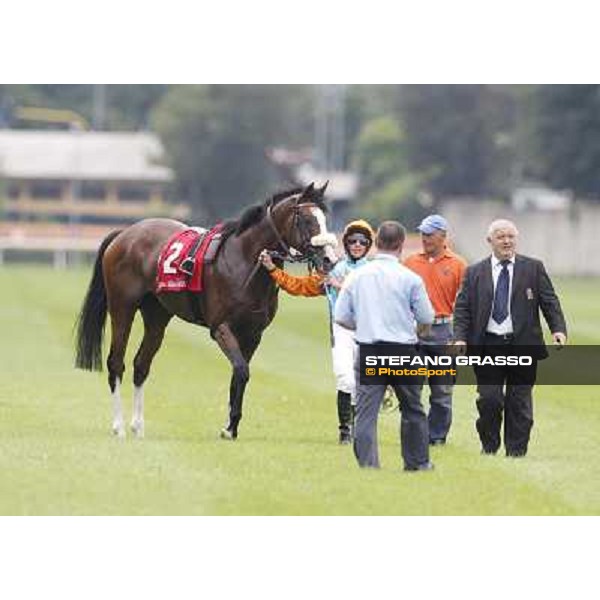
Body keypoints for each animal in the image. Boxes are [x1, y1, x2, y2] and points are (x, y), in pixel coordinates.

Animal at [74, 183, 338, 440]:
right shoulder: (221, 328)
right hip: (122, 308)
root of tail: (125, 234)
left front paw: (231, 426)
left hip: (157, 315)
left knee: (141, 365)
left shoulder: (253, 334)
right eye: (306, 220)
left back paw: (137, 426)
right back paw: (118, 426)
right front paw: (230, 426)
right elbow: (241, 371)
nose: (329, 259)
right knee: (116, 363)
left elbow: (238, 374)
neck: (243, 260)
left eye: (324, 218)